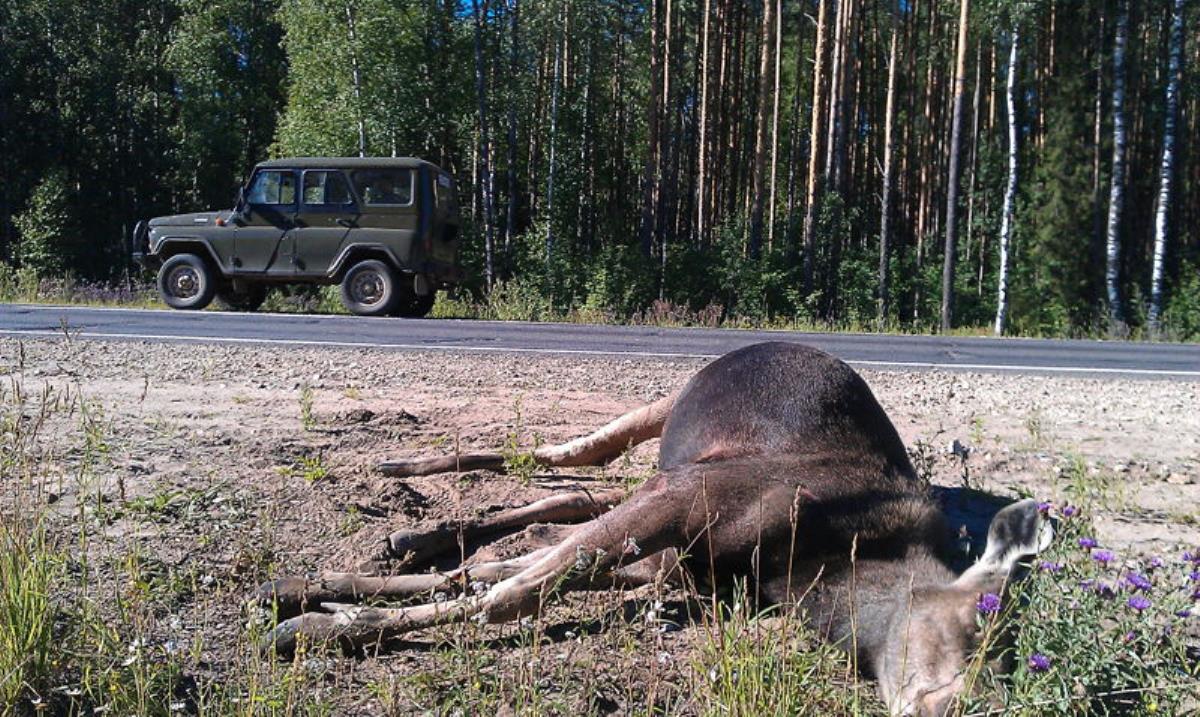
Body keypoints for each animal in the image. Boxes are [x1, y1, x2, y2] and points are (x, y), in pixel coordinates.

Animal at [255, 345, 1051, 717]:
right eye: (978, 625)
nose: (964, 703)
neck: (819, 573)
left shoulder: (680, 556)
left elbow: (512, 574)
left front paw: (322, 592)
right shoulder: (687, 496)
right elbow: (515, 592)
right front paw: (324, 620)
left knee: (572, 495)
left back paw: (416, 534)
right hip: (659, 415)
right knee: (556, 457)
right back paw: (402, 466)